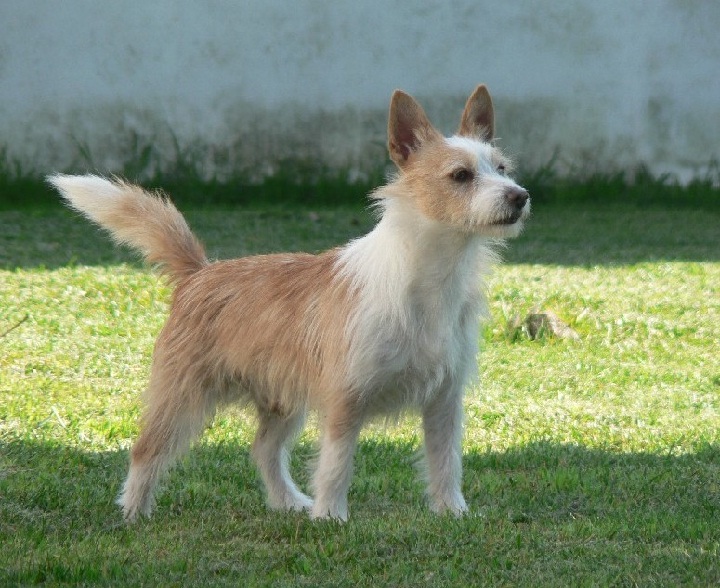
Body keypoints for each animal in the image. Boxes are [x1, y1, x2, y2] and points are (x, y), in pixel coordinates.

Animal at [47, 85, 524, 520]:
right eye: (461, 176)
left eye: (503, 168)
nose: (520, 196)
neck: (428, 277)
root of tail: (198, 272)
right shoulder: (345, 402)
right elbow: (336, 466)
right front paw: (332, 517)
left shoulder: (444, 402)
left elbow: (446, 463)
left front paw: (453, 513)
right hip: (182, 398)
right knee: (145, 450)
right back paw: (133, 511)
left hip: (281, 402)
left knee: (263, 451)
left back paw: (287, 501)